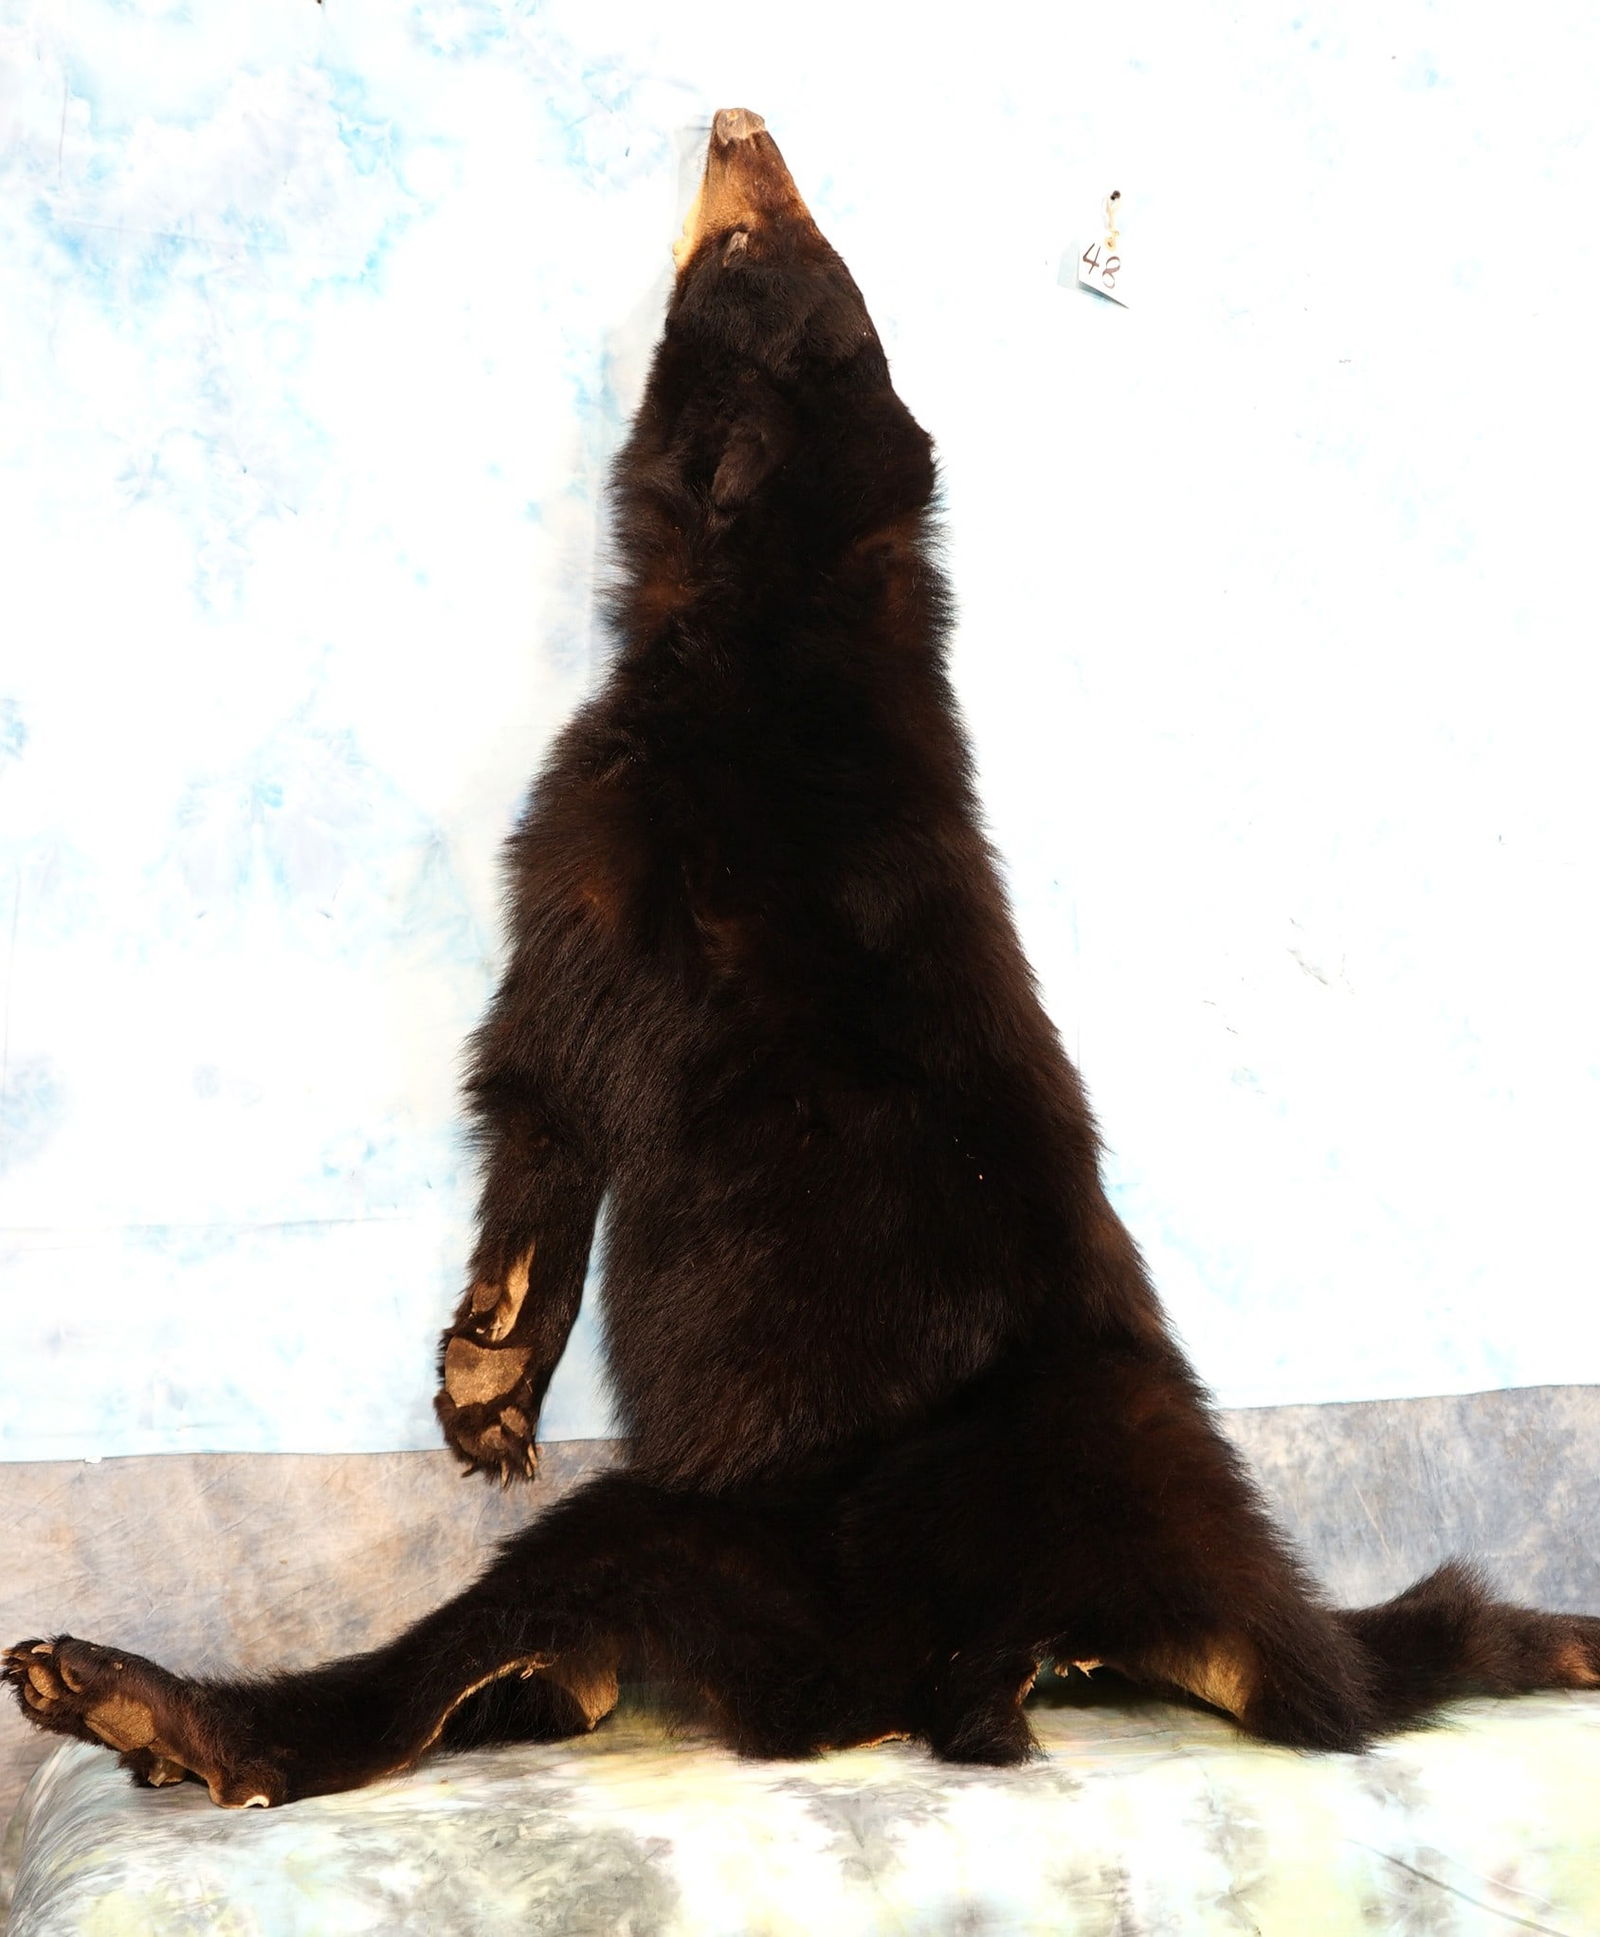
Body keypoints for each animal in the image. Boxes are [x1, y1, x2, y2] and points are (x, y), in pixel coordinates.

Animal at [7, 107, 1599, 1810]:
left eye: (743, 252)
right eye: (788, 237)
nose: (740, 124)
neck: (784, 610)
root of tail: (1161, 1612)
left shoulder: (604, 864)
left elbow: (546, 1099)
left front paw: (488, 1363)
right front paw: (490, 1374)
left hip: (751, 1539)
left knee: (466, 1654)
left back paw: (145, 1701)